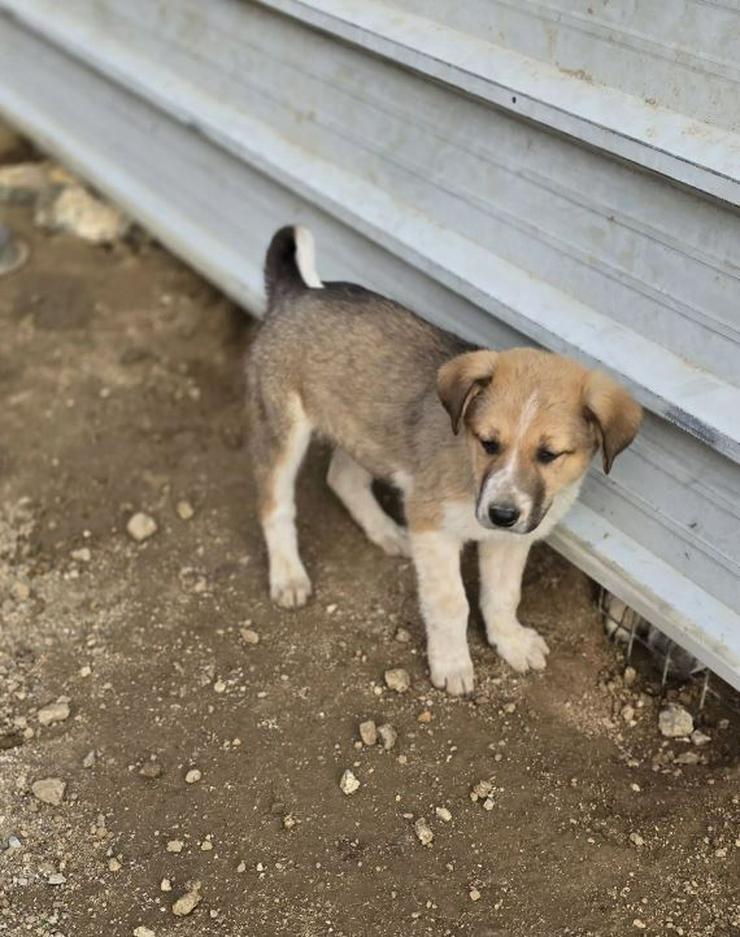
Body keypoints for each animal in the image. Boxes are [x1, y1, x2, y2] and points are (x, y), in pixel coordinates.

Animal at [249, 227, 640, 696]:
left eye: (549, 454)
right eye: (488, 442)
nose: (502, 514)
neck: (470, 472)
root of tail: (297, 292)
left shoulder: (510, 540)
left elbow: (503, 595)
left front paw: (510, 641)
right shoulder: (431, 523)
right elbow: (451, 601)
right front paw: (452, 663)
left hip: (365, 429)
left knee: (342, 477)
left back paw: (385, 532)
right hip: (284, 425)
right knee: (274, 503)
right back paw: (288, 575)